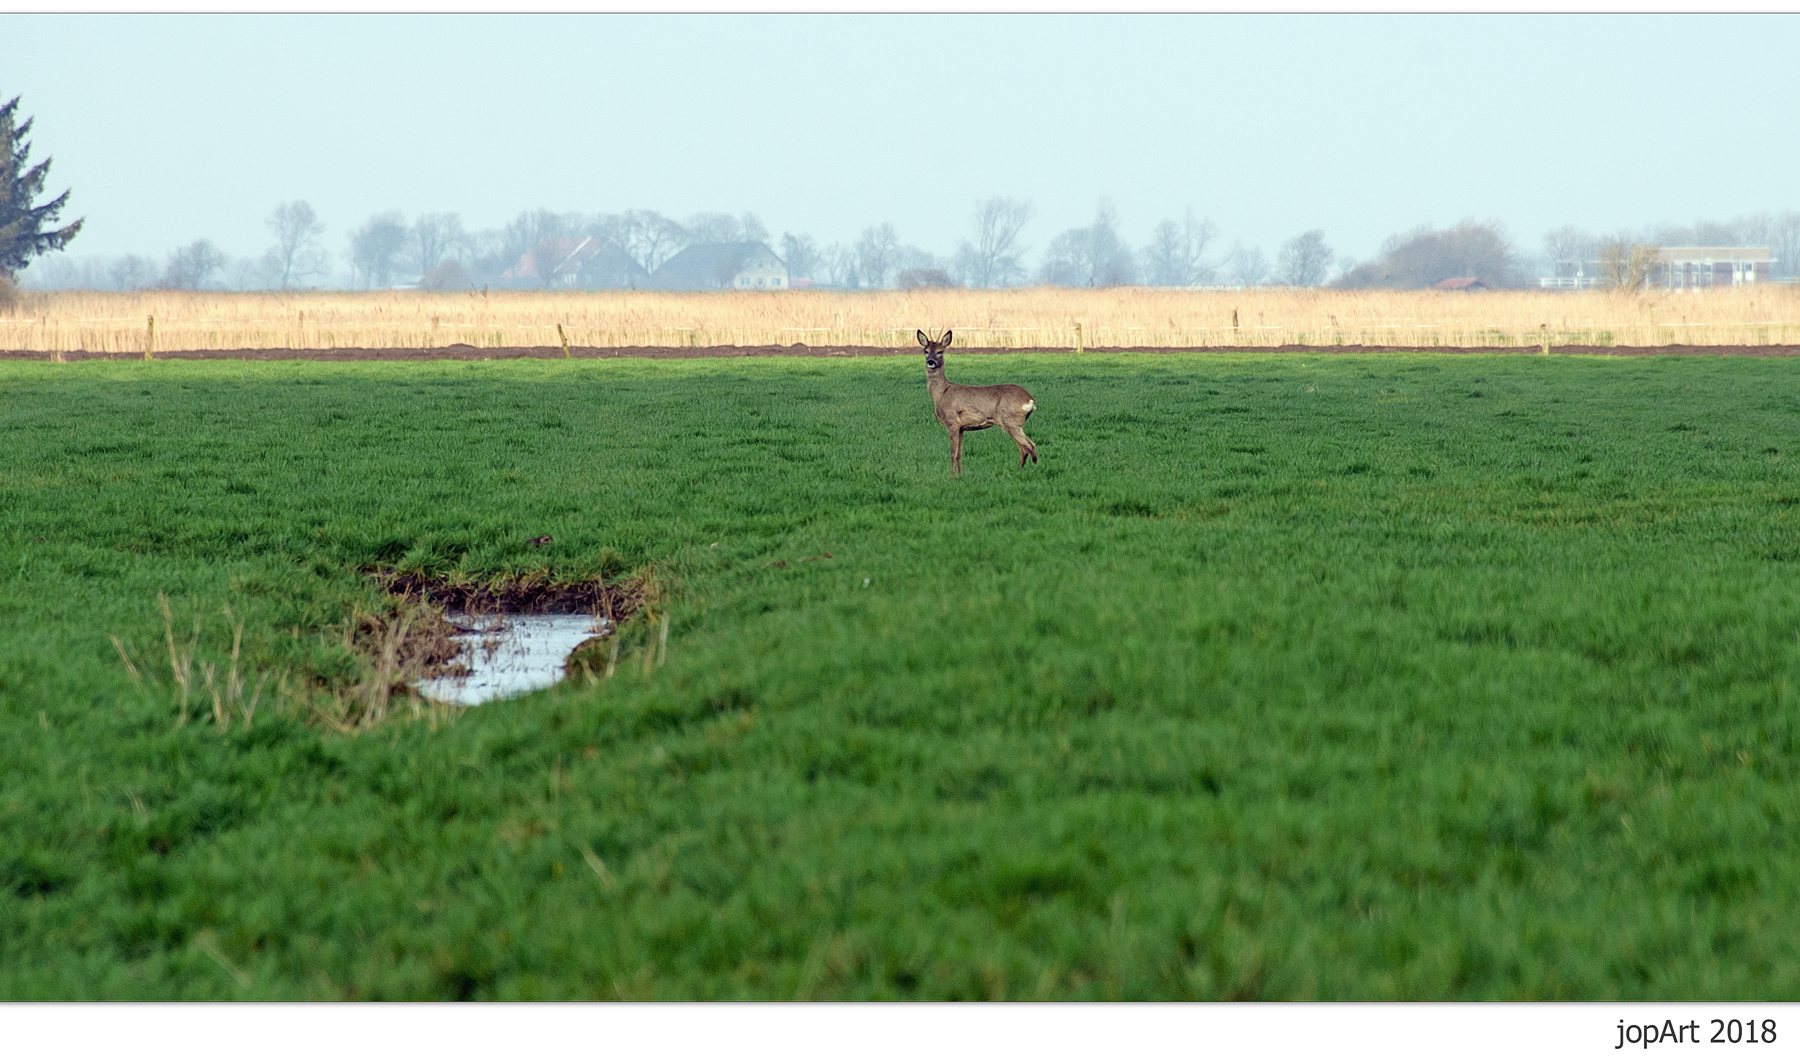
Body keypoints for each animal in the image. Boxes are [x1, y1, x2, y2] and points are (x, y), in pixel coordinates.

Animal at [914, 325, 1044, 475]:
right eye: (925, 351)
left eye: (940, 351)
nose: (931, 362)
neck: (941, 394)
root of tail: (1030, 400)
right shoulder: (962, 428)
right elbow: (959, 454)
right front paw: (960, 475)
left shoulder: (952, 422)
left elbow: (952, 453)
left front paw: (951, 476)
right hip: (1014, 424)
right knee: (1024, 448)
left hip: (1010, 421)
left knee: (1030, 446)